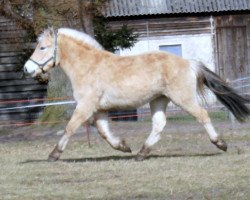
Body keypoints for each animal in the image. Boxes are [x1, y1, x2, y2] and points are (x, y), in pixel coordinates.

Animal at [23, 27, 250, 161]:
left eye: (42, 48)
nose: (27, 69)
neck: (88, 66)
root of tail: (189, 63)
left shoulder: (85, 106)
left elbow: (70, 127)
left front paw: (53, 154)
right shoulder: (99, 109)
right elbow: (103, 132)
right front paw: (124, 147)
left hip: (182, 98)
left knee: (202, 115)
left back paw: (221, 144)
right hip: (159, 100)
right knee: (159, 125)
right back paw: (141, 153)